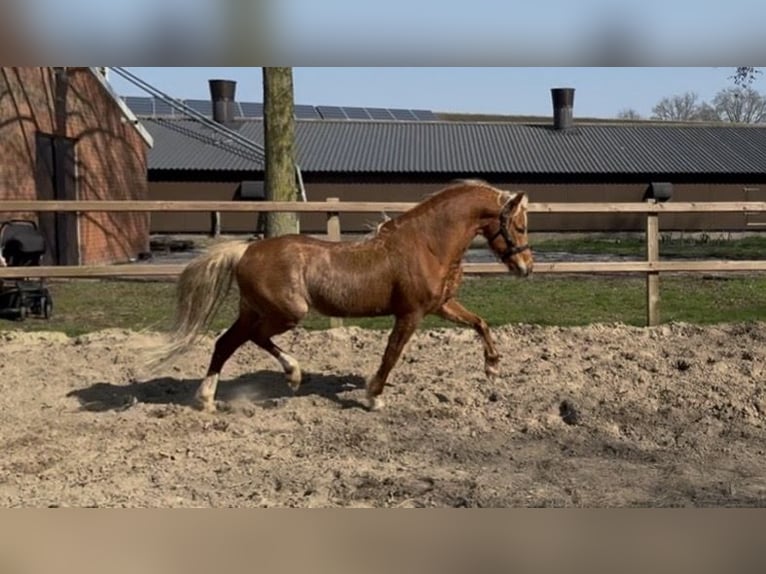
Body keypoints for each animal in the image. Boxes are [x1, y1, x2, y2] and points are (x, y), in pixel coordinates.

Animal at [153, 180, 533, 412]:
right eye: (520, 226)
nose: (526, 267)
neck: (426, 245)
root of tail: (246, 250)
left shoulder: (440, 306)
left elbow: (480, 323)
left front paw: (492, 367)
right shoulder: (410, 314)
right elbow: (391, 355)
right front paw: (374, 397)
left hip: (253, 310)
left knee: (225, 343)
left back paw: (207, 399)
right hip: (285, 313)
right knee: (254, 338)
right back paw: (293, 374)